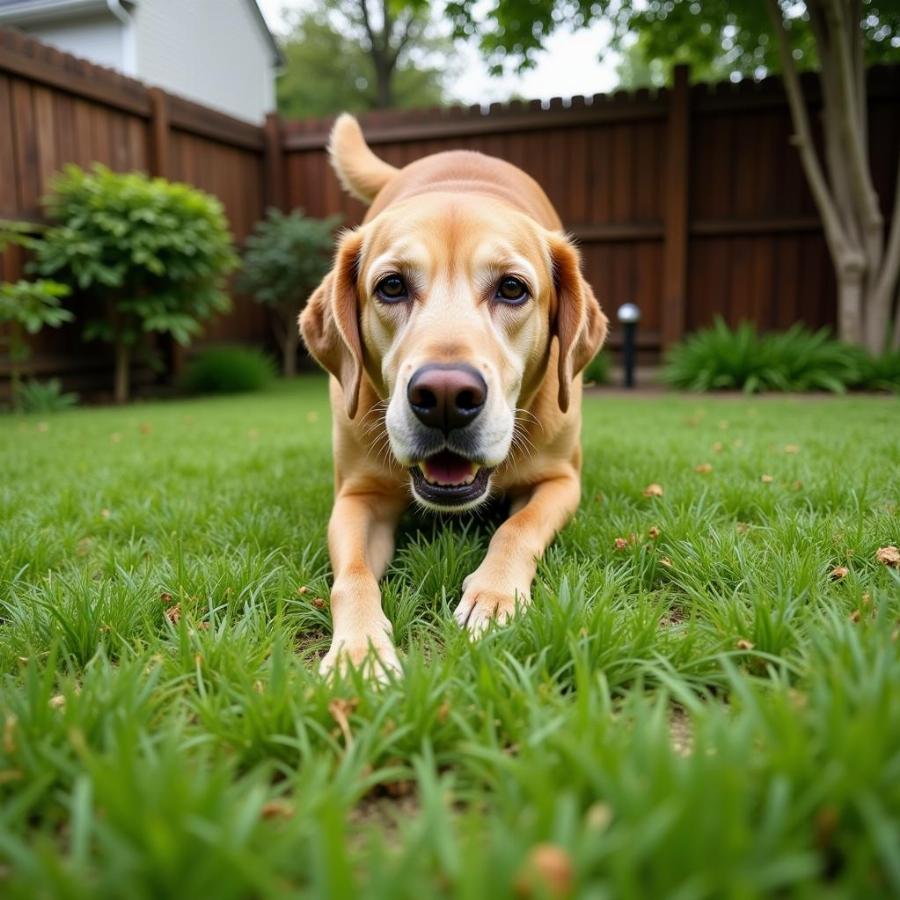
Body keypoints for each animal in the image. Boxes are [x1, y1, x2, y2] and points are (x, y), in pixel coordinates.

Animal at [300, 114, 604, 676]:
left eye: (512, 288)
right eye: (392, 286)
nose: (443, 396)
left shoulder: (561, 482)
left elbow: (518, 527)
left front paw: (493, 597)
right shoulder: (356, 498)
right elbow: (351, 576)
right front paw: (359, 651)